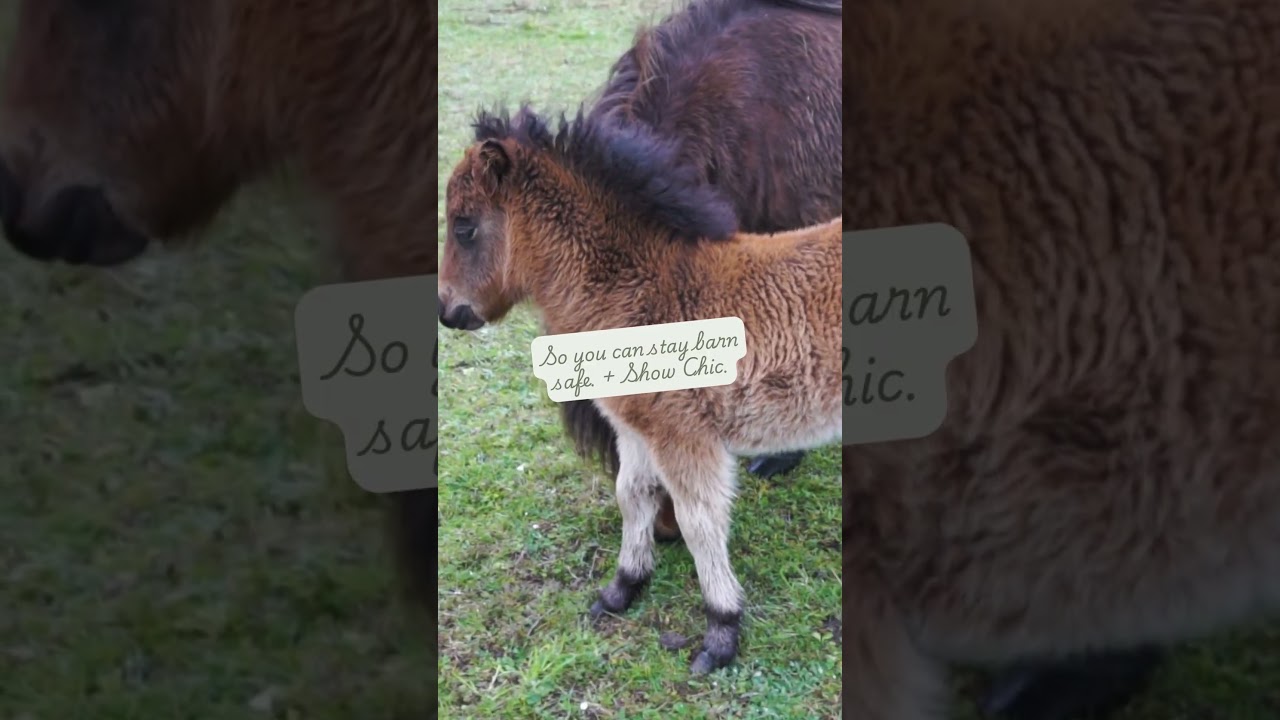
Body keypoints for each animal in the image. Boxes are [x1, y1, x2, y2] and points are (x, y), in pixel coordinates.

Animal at [437, 106, 842, 674]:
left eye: (465, 227)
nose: (448, 311)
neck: (641, 287)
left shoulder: (684, 437)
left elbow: (699, 522)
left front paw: (721, 630)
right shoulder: (634, 428)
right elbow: (633, 496)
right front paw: (623, 587)